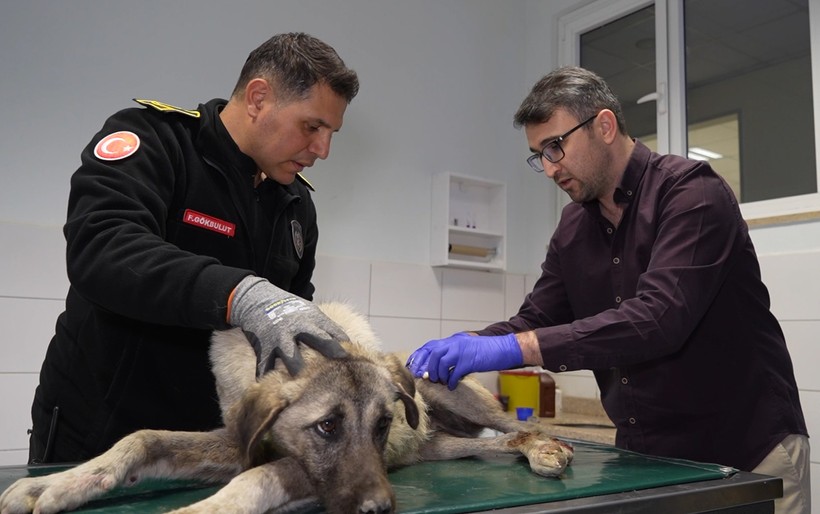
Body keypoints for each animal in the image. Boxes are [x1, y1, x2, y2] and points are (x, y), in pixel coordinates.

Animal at [0, 302, 572, 512]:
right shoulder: (238, 442)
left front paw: (208, 509)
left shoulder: (300, 470)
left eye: (383, 423)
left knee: (520, 426)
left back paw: (549, 449)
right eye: (326, 427)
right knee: (497, 442)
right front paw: (55, 485)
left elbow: (262, 476)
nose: (380, 508)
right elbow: (141, 439)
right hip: (439, 446)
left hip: (448, 390)